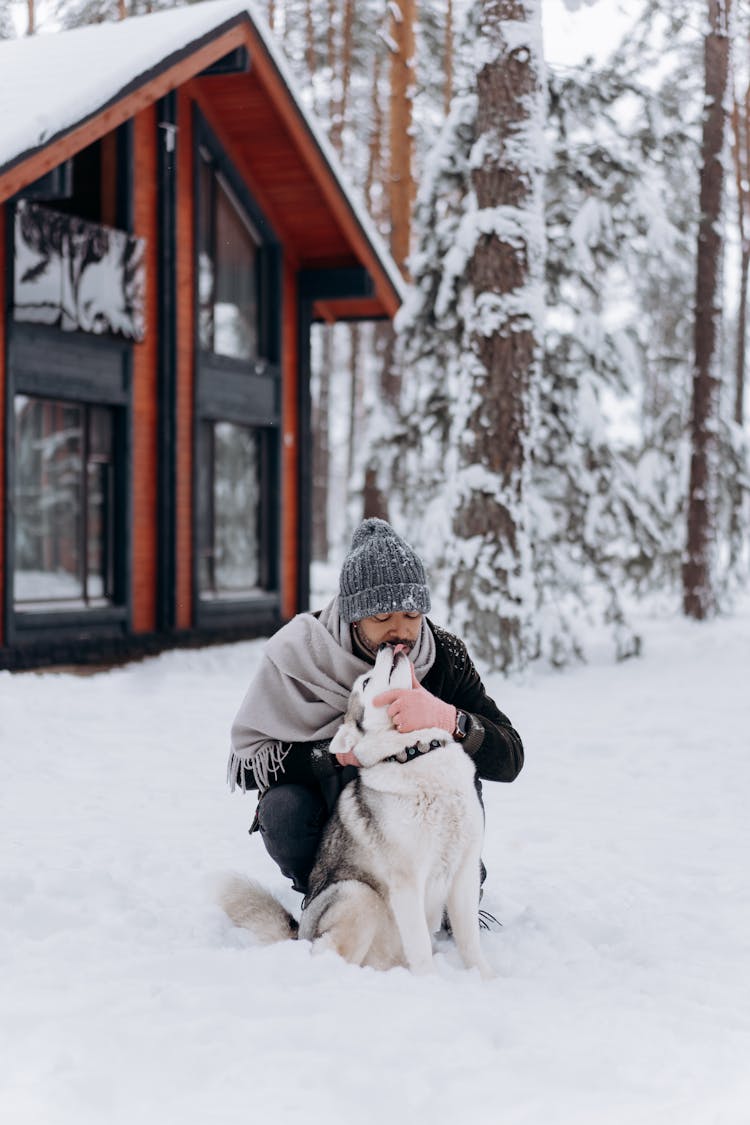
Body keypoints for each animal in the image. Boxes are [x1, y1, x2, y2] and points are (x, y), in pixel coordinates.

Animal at [222, 643, 492, 976]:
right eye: (365, 682)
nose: (388, 646)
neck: (414, 753)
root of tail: (300, 935)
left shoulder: (464, 872)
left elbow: (470, 943)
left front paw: (485, 979)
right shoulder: (406, 882)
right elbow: (420, 947)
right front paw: (429, 981)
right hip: (358, 893)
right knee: (329, 951)